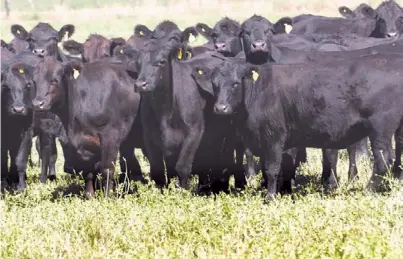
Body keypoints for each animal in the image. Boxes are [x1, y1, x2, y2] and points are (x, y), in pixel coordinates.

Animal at [31, 58, 142, 198]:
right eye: (34, 81)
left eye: (54, 80)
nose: (37, 104)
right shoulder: (83, 143)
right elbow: (88, 171)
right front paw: (89, 195)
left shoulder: (111, 136)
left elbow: (107, 169)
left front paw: (107, 196)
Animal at [198, 54, 403, 197]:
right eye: (214, 84)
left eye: (235, 84)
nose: (220, 108)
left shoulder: (274, 137)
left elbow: (272, 169)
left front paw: (270, 196)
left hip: (380, 129)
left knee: (383, 159)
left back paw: (369, 190)